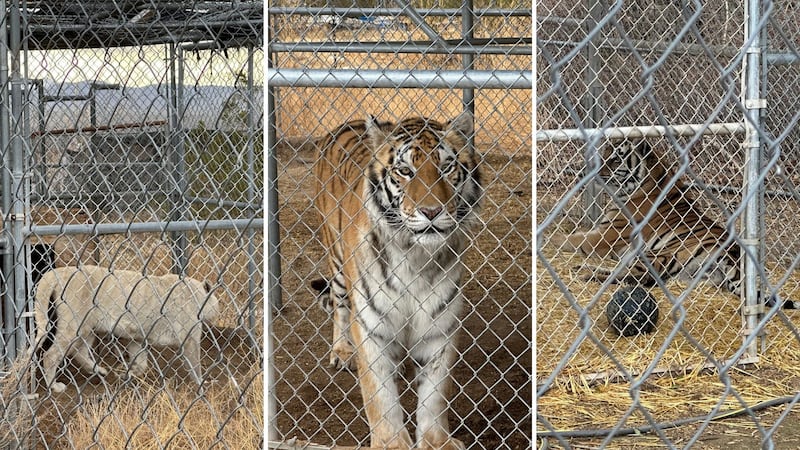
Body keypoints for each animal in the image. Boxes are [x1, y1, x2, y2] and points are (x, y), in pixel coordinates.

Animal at [311, 113, 481, 450]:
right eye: (405, 171)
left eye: (446, 167)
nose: (431, 211)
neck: (414, 257)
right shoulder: (370, 326)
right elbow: (380, 396)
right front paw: (391, 443)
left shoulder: (439, 327)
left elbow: (434, 395)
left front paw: (436, 442)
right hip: (336, 260)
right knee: (340, 307)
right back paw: (342, 351)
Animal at [554, 138, 795, 308]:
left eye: (615, 158)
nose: (591, 171)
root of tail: (734, 256)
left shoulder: (605, 235)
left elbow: (568, 239)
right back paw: (583, 268)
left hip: (658, 253)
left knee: (641, 278)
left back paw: (587, 274)